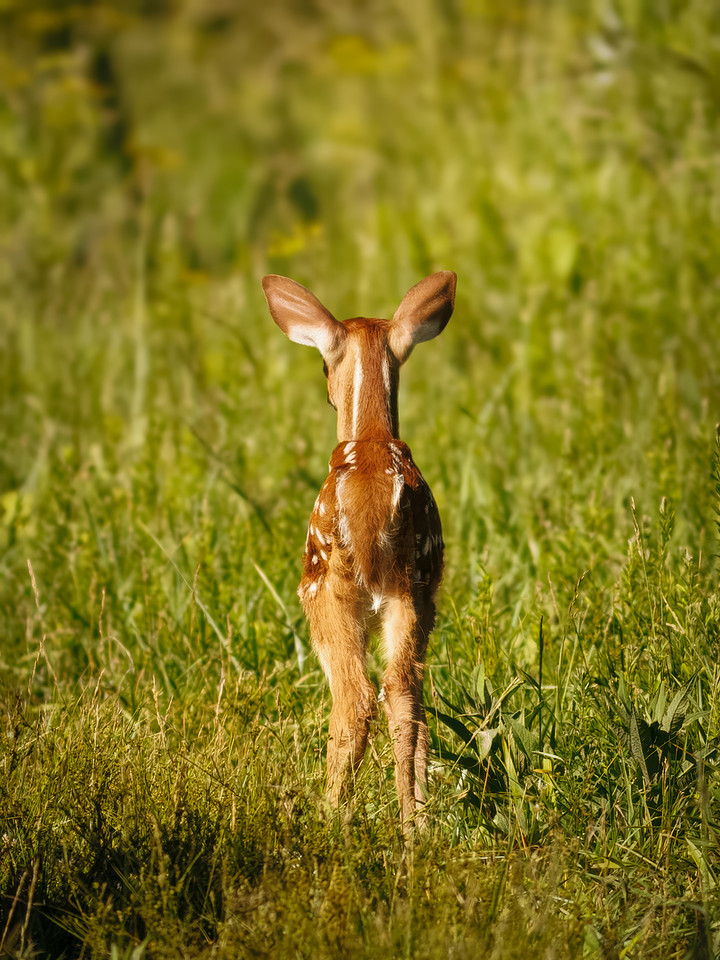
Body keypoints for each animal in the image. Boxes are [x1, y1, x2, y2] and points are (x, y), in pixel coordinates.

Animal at [262, 270, 456, 830]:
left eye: (323, 363)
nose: (326, 391)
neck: (368, 434)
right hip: (414, 593)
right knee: (403, 691)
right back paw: (415, 825)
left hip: (325, 591)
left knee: (355, 698)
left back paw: (327, 817)